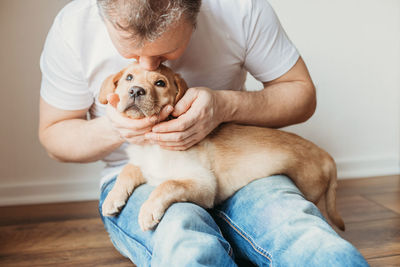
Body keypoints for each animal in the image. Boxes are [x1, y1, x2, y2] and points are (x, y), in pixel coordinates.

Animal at [98, 62, 346, 232]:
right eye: (129, 77)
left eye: (160, 83)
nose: (135, 90)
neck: (152, 146)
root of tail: (326, 156)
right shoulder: (147, 168)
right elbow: (128, 169)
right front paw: (112, 198)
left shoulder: (203, 183)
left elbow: (168, 184)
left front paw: (148, 210)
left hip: (310, 190)